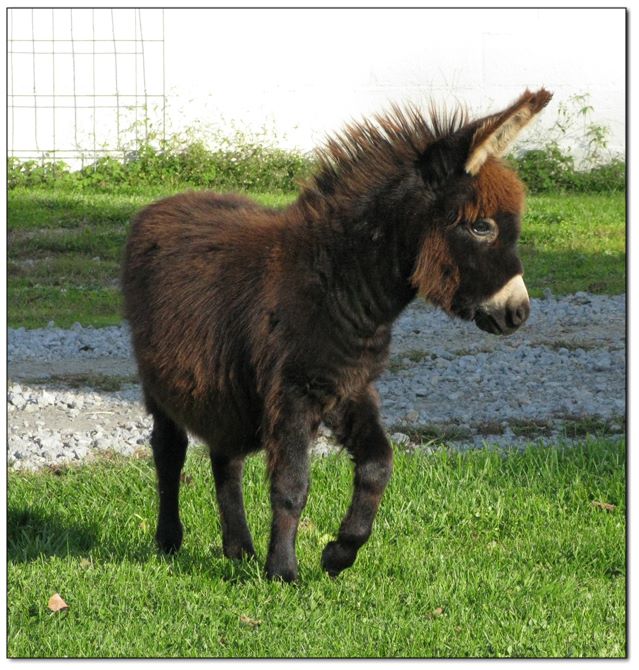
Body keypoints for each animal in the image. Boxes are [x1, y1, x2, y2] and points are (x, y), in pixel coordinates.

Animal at [122, 88, 552, 581]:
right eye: (482, 226)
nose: (518, 313)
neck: (337, 285)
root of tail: (159, 205)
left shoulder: (349, 387)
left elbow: (378, 464)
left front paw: (338, 553)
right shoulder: (293, 393)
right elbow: (292, 485)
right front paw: (283, 572)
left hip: (225, 385)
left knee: (225, 460)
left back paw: (239, 550)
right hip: (160, 385)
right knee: (169, 452)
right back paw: (170, 541)